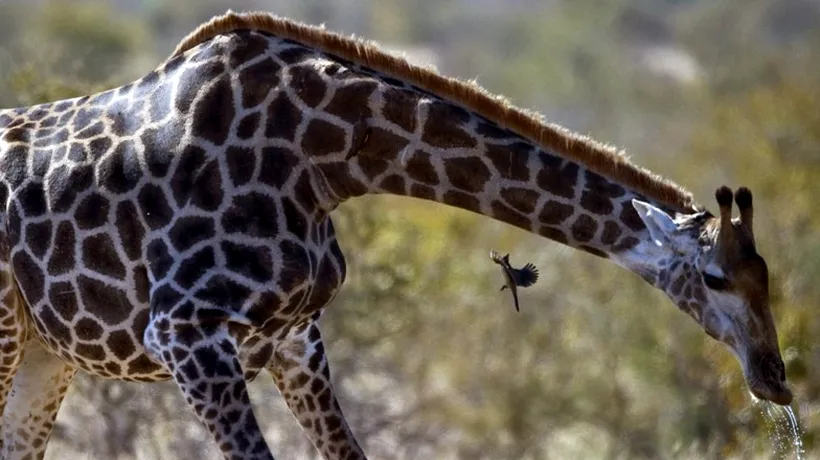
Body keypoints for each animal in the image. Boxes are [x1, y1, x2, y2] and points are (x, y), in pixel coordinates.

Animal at [0, 10, 792, 460]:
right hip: (9, 334)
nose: (776, 381)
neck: (323, 157)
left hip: (46, 354)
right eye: (716, 277)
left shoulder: (294, 339)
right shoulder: (185, 332)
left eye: (769, 279)